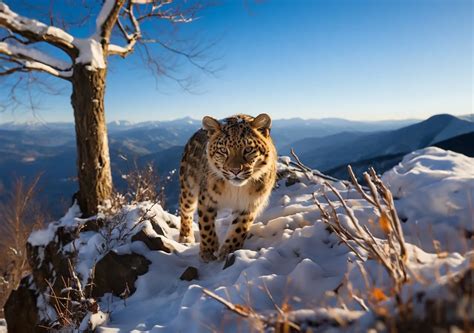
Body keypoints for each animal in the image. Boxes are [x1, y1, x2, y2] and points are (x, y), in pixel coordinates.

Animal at [179, 114, 278, 262]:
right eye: (223, 150)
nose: (235, 170)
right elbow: (206, 225)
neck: (236, 189)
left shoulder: (249, 203)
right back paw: (185, 237)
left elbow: (240, 228)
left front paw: (228, 250)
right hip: (188, 187)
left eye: (248, 149)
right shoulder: (206, 199)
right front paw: (208, 251)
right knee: (186, 211)